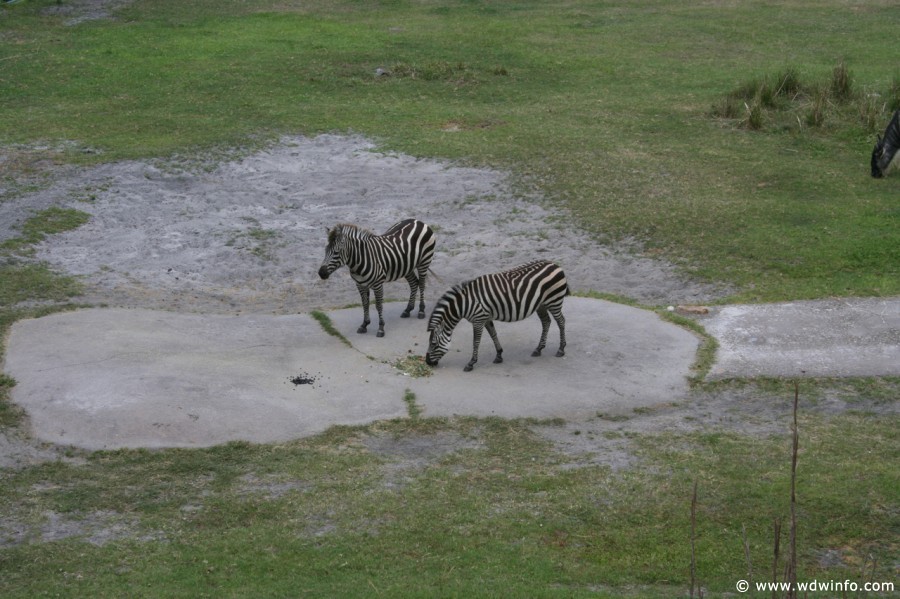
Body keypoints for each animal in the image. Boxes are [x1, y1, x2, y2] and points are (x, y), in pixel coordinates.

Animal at [424, 262, 568, 372]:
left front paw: (471, 363)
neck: (465, 303)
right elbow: (493, 334)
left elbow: (476, 341)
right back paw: (539, 349)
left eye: (433, 344)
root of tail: (555, 265)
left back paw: (561, 349)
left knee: (561, 321)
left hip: (554, 301)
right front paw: (499, 355)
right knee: (546, 322)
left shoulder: (478, 320)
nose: (427, 362)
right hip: (541, 305)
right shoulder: (486, 318)